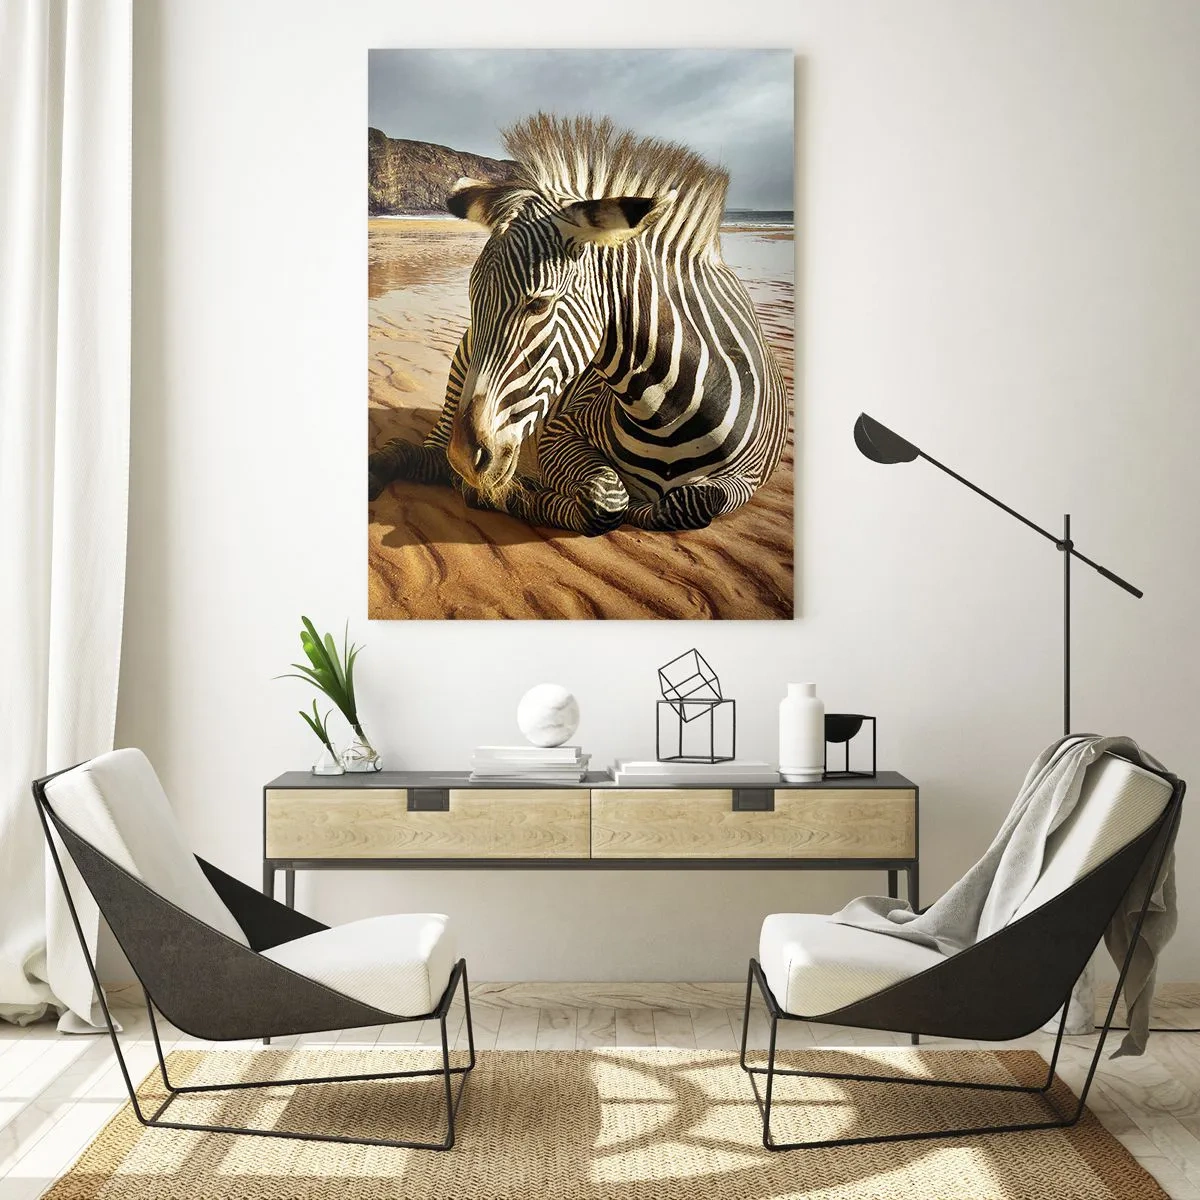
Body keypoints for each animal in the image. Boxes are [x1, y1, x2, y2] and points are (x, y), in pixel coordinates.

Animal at [368, 114, 790, 535]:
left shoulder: (748, 478)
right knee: (428, 456)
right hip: (459, 381)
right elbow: (606, 500)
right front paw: (512, 495)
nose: (465, 456)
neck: (670, 414)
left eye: (538, 303)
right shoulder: (560, 432)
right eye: (473, 300)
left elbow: (690, 501)